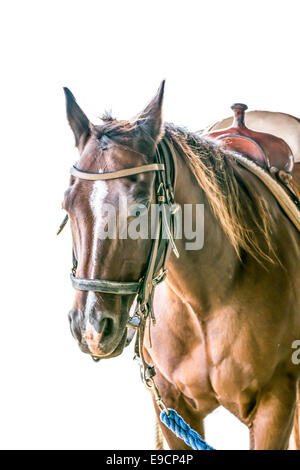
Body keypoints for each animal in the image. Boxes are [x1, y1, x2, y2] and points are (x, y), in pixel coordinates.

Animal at [62, 82, 300, 450]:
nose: (90, 327)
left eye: (141, 207)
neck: (208, 300)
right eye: (68, 205)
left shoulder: (276, 405)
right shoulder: (172, 407)